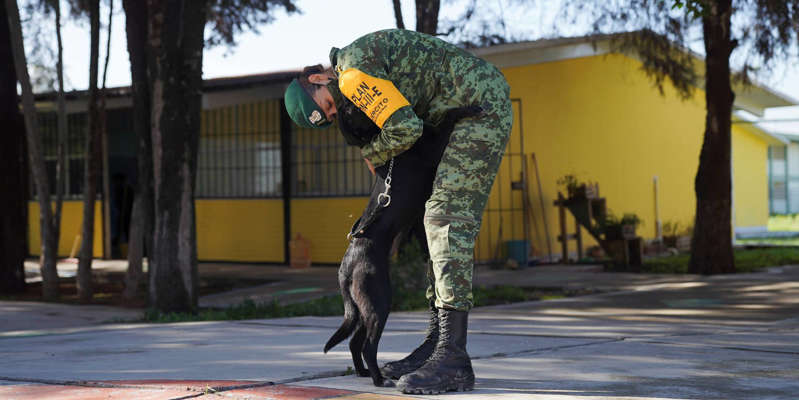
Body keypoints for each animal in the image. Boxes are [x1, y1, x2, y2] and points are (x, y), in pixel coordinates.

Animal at [324, 103, 482, 388]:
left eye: (347, 110)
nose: (342, 101)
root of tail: (346, 269)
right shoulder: (432, 147)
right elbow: (446, 121)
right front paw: (467, 108)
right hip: (379, 301)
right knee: (368, 345)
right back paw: (378, 379)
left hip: (362, 308)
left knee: (354, 342)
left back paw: (364, 373)